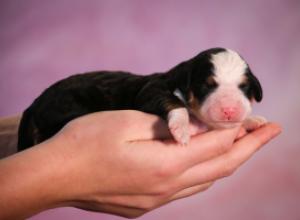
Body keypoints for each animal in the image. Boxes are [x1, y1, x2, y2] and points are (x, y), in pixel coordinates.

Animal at [17, 47, 268, 151]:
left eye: (244, 87)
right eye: (207, 86)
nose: (229, 110)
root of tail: (33, 105)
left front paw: (253, 121)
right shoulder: (151, 90)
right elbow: (175, 103)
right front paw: (183, 128)